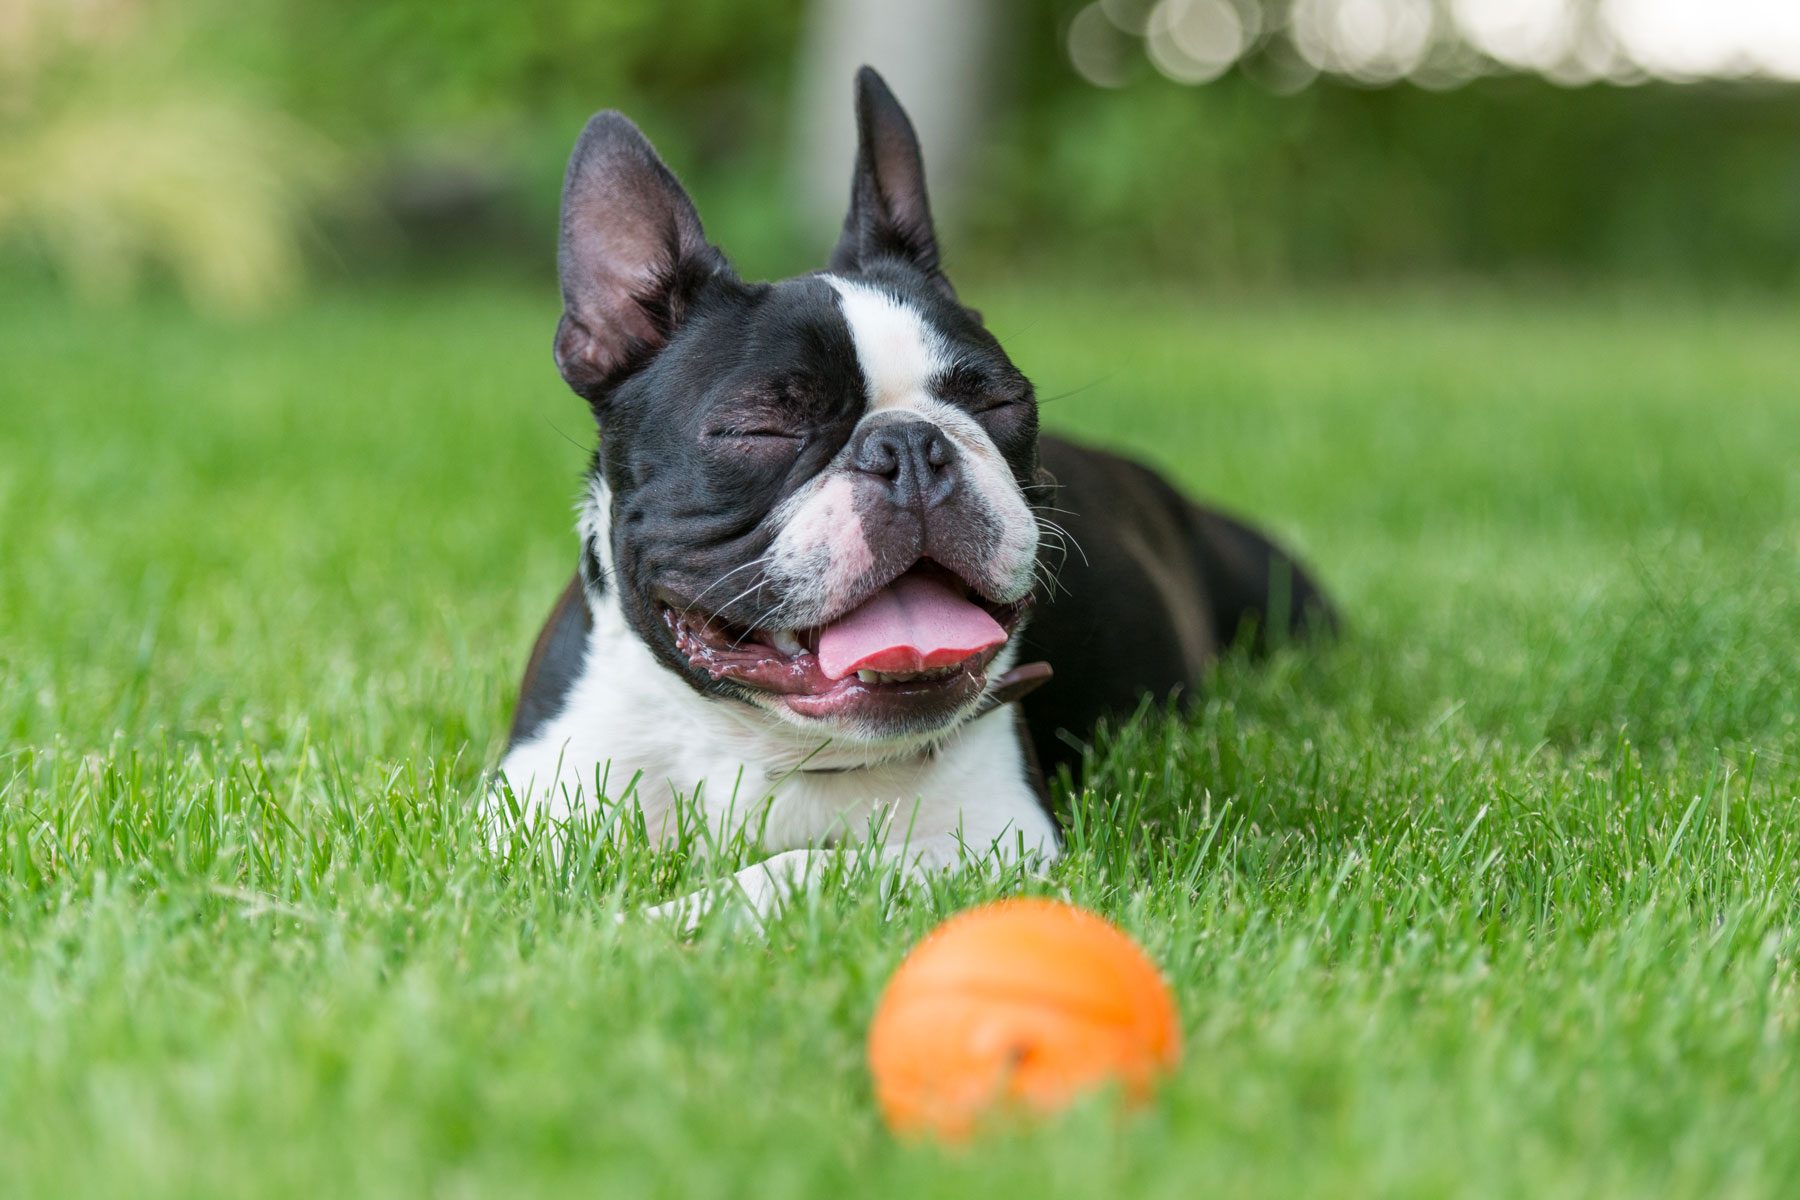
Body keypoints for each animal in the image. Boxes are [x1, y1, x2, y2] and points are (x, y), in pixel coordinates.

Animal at [500, 67, 1332, 928]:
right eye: (761, 427)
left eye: (1002, 403)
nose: (908, 446)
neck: (767, 749)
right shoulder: (532, 809)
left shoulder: (996, 836)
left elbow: (809, 868)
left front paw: (666, 921)